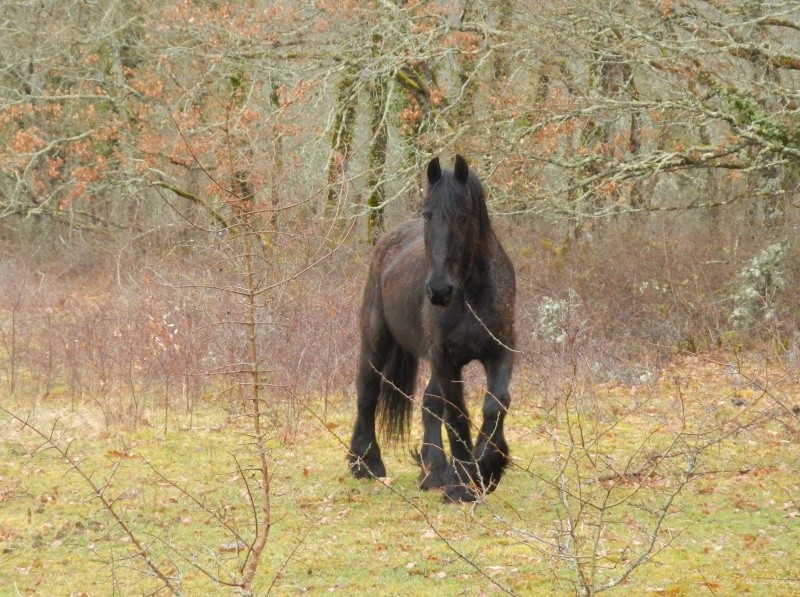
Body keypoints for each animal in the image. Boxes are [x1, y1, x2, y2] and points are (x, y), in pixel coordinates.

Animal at [346, 154, 516, 498]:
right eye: (427, 214)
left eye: (463, 216)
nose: (439, 290)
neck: (471, 294)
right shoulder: (444, 358)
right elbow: (457, 414)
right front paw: (463, 483)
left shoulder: (499, 351)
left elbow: (496, 404)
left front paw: (487, 467)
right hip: (376, 339)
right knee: (367, 391)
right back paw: (367, 463)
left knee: (428, 402)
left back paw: (434, 470)